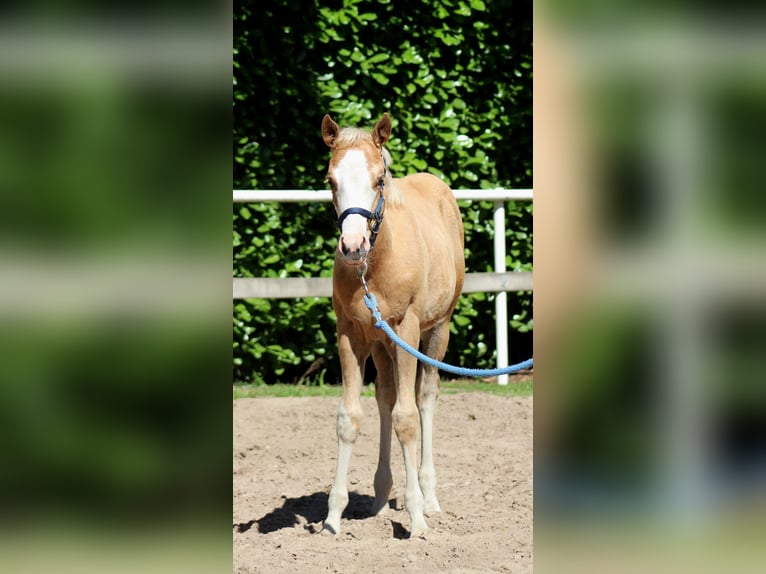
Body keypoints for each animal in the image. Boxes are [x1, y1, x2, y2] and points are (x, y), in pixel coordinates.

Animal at [320, 112, 465, 538]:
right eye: (331, 180)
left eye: (379, 180)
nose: (353, 246)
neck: (374, 266)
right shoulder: (350, 334)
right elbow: (350, 417)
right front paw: (333, 517)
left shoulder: (407, 329)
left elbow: (408, 418)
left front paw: (416, 518)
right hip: (381, 344)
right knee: (385, 396)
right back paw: (382, 499)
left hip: (436, 330)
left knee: (426, 397)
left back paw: (429, 497)